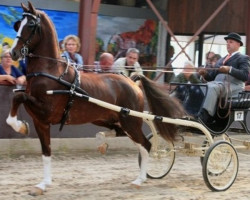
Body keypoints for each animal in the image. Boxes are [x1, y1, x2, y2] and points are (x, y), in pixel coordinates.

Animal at [6, 1, 184, 195]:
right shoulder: (41, 122)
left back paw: (139, 180)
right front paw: (43, 184)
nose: (13, 53)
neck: (51, 72)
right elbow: (46, 152)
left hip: (130, 121)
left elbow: (19, 97)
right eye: (17, 24)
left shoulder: (46, 111)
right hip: (109, 119)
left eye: (30, 25)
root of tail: (133, 81)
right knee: (125, 136)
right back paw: (103, 142)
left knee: (146, 145)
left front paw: (20, 126)